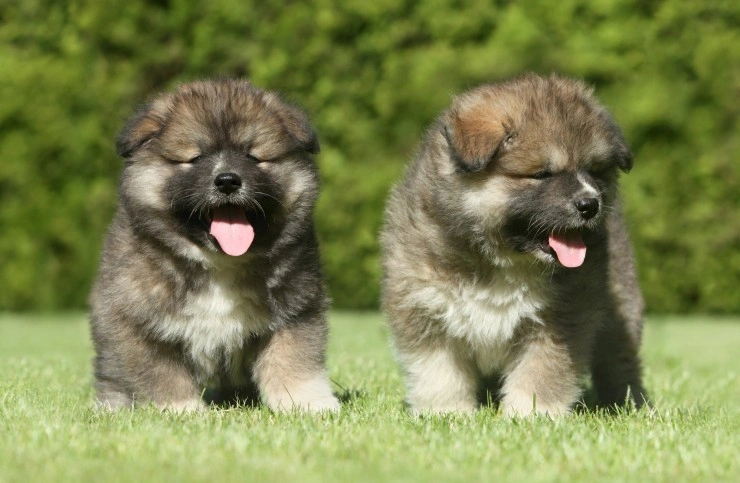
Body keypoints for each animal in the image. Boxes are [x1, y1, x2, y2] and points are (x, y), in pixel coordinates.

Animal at [90, 79, 342, 412]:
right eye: (196, 158)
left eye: (252, 156)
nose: (227, 180)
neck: (220, 264)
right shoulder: (138, 323)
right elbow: (160, 374)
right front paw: (180, 409)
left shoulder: (296, 312)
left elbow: (294, 361)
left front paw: (308, 403)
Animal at [382, 73, 648, 418]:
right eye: (542, 174)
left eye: (594, 171)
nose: (590, 204)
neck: (501, 259)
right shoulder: (426, 311)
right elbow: (439, 372)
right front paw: (446, 412)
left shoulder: (559, 320)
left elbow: (540, 373)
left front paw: (529, 414)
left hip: (620, 316)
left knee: (620, 363)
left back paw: (631, 404)